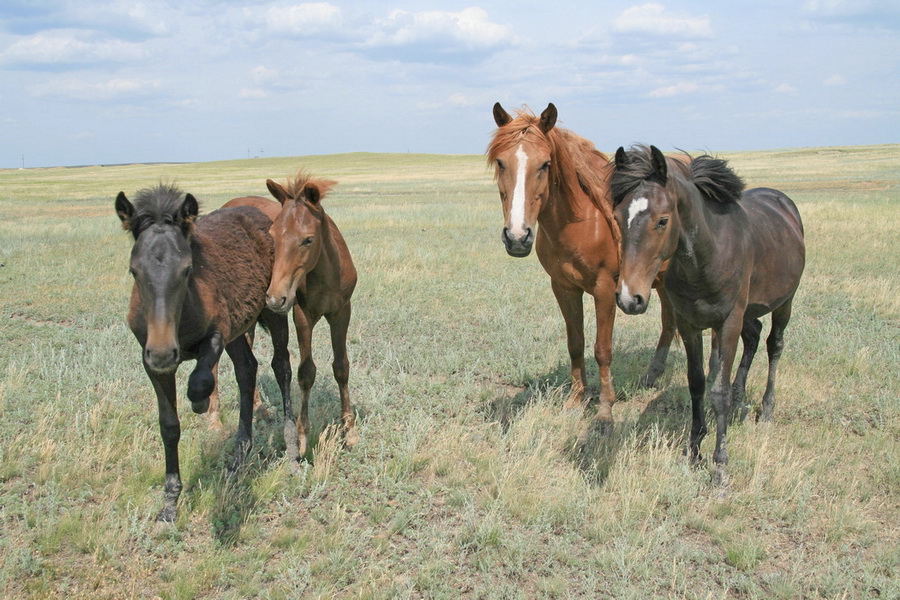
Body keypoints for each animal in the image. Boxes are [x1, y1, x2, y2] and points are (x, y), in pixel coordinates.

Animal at [114, 184, 294, 520]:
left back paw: (291, 445)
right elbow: (169, 425)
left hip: (273, 309)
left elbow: (201, 380)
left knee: (282, 366)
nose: (163, 352)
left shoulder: (217, 335)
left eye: (187, 270)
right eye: (134, 271)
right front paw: (169, 502)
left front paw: (199, 403)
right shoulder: (151, 361)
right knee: (247, 369)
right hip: (240, 326)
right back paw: (240, 454)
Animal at [260, 171, 358, 458]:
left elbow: (341, 366)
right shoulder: (302, 315)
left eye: (308, 239)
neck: (326, 274)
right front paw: (302, 437)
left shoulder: (342, 312)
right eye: (272, 236)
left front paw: (349, 431)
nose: (275, 298)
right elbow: (306, 372)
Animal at [488, 104, 680, 432]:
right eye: (501, 162)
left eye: (545, 164)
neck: (581, 222)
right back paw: (652, 375)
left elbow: (602, 350)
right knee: (668, 323)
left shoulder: (605, 290)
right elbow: (575, 343)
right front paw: (576, 400)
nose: (517, 237)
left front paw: (604, 411)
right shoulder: (563, 288)